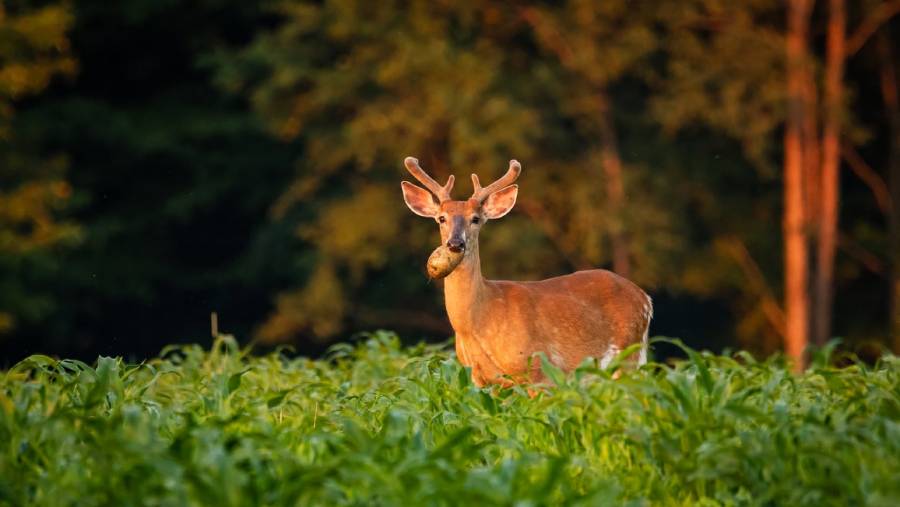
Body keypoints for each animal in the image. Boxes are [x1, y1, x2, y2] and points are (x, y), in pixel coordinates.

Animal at [401, 157, 652, 387]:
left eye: (476, 219)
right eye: (441, 218)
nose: (455, 244)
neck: (478, 323)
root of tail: (645, 298)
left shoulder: (539, 369)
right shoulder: (480, 379)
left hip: (628, 355)